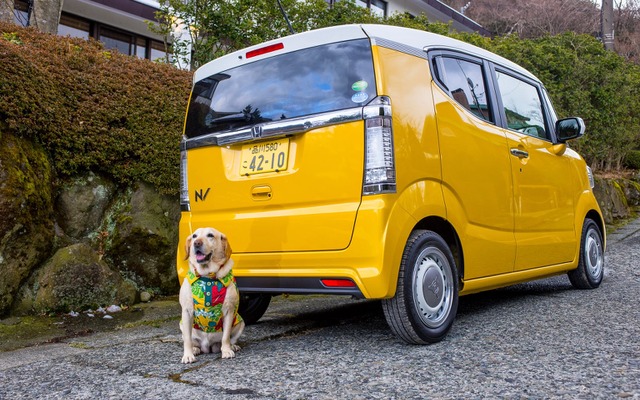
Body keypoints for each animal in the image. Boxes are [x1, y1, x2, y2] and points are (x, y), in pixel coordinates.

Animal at [180, 228, 245, 362]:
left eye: (210, 235)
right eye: (194, 236)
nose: (197, 243)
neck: (207, 275)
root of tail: (207, 347)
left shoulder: (229, 311)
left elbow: (226, 337)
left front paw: (226, 351)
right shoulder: (187, 311)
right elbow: (187, 340)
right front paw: (188, 355)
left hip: (240, 322)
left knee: (230, 339)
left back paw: (232, 346)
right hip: (182, 325)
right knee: (192, 341)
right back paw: (195, 349)